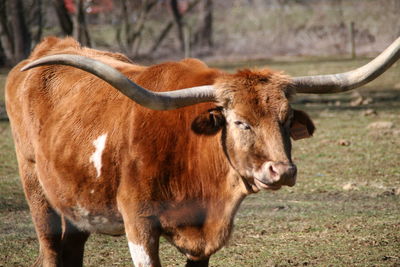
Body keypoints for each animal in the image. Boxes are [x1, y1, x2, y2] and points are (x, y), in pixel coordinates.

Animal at [3, 36, 400, 267]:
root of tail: (51, 45)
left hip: (76, 203)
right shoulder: (138, 224)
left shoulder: (204, 240)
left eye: (287, 119)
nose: (283, 171)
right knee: (51, 251)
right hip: (34, 187)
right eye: (240, 122)